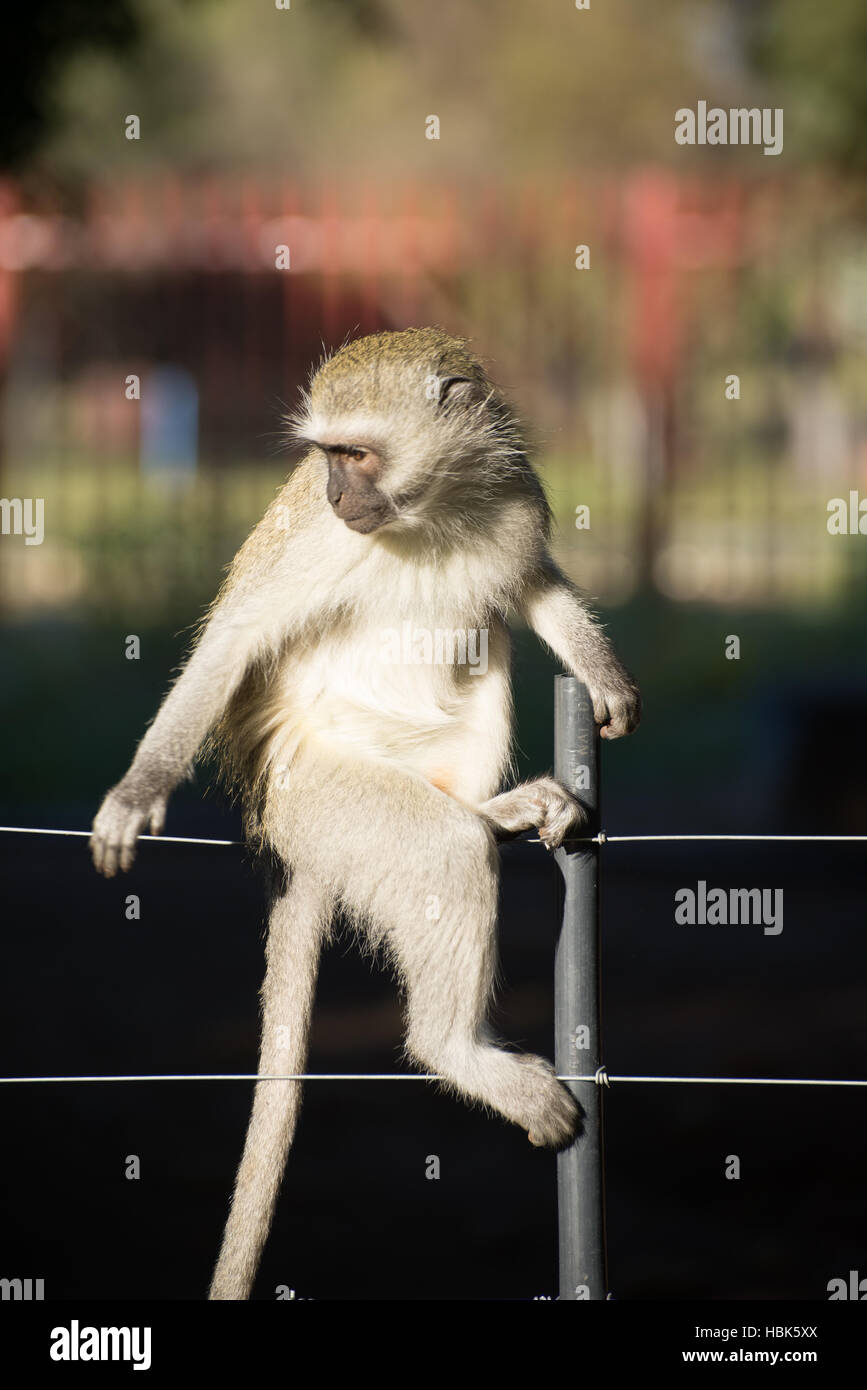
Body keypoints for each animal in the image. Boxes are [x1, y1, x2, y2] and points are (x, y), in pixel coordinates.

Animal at [91, 322, 639, 1289]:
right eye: (326, 457)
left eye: (353, 454)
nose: (335, 492)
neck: (436, 513)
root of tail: (279, 833)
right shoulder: (317, 541)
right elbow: (234, 639)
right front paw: (139, 788)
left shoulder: (516, 501)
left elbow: (532, 586)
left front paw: (600, 672)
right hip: (324, 802)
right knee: (441, 853)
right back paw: (456, 1048)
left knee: (487, 633)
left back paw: (497, 812)